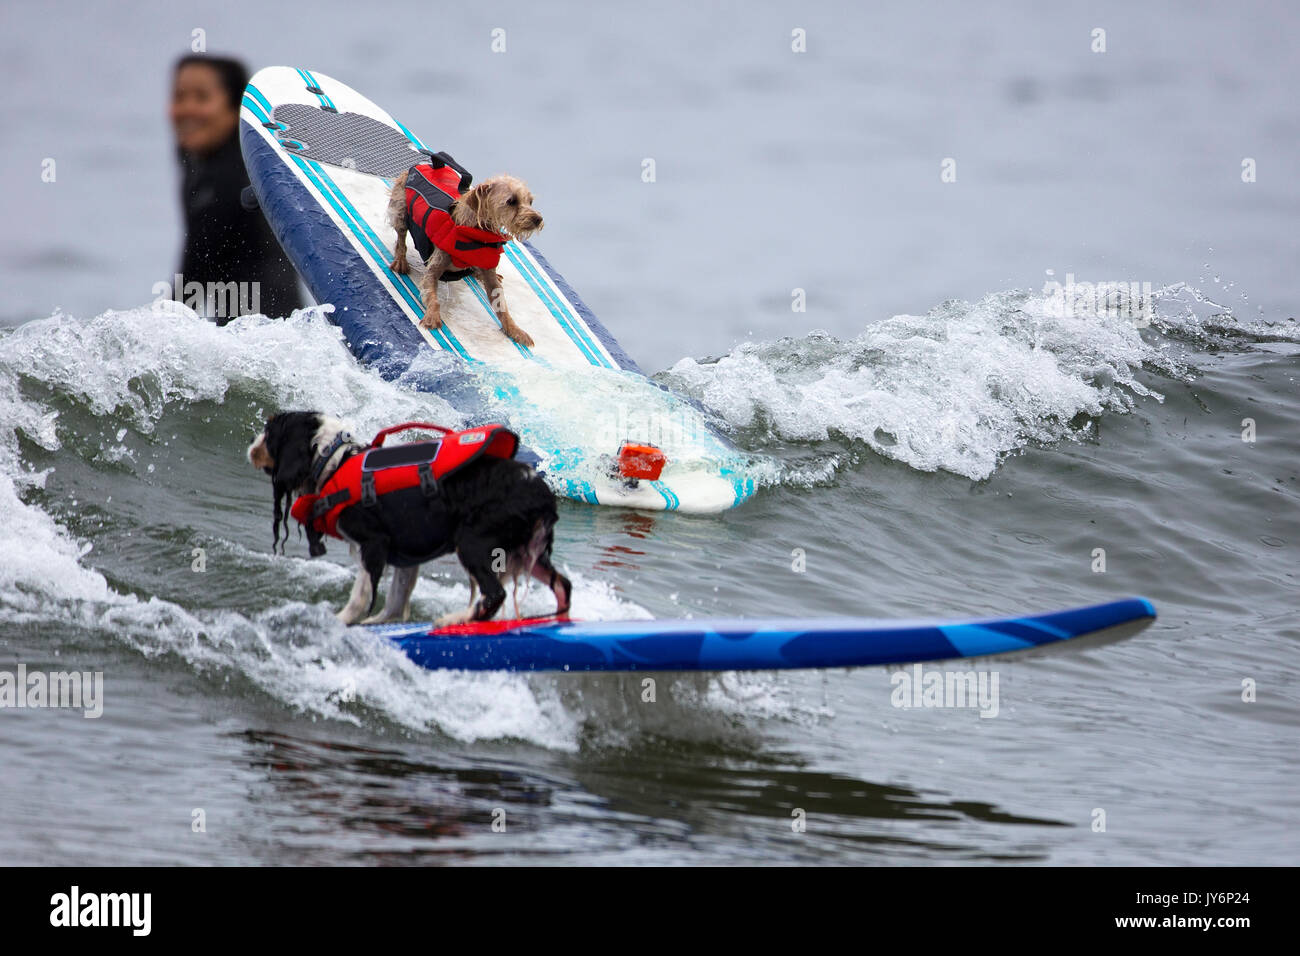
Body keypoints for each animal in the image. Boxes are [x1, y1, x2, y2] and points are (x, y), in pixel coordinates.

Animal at [245, 413, 572, 629]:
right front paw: (376, 622)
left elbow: (362, 594)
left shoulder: (373, 543)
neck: (332, 460)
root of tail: (540, 492)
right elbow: (395, 597)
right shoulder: (407, 556)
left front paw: (339, 621)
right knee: (563, 586)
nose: (250, 443)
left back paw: (455, 619)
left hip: (473, 541)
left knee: (495, 594)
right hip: (526, 550)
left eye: (269, 432)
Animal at [390, 155, 543, 348]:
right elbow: (432, 295)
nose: (538, 219)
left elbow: (502, 307)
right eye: (511, 201)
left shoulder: (490, 275)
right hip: (400, 208)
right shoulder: (435, 266)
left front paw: (515, 330)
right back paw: (400, 261)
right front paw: (432, 316)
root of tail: (424, 164)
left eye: (530, 201)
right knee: (401, 237)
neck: (476, 235)